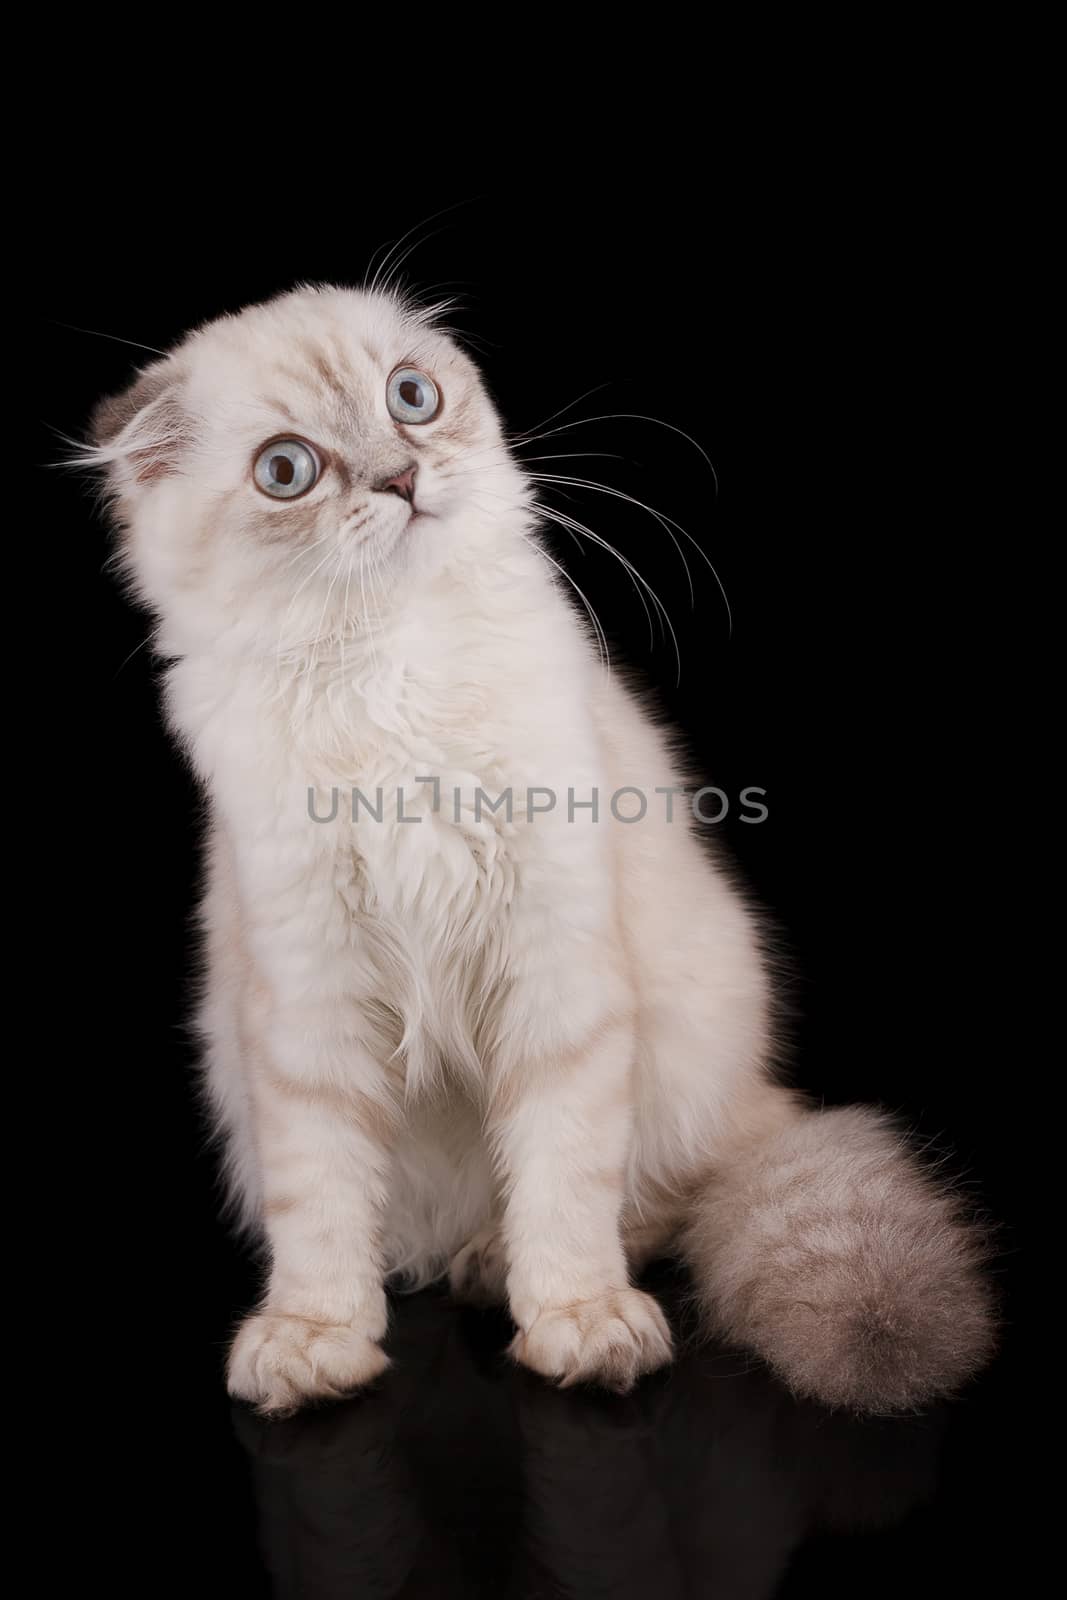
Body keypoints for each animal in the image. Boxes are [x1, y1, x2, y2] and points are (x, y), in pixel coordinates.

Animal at [87, 284, 998, 1414]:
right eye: (286, 470)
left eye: (411, 398)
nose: (400, 477)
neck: (389, 675)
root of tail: (757, 1098)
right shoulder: (306, 1004)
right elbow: (319, 1204)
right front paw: (315, 1338)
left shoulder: (554, 967)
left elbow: (566, 1176)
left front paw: (577, 1320)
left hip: (688, 1045)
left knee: (659, 1196)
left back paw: (496, 1266)